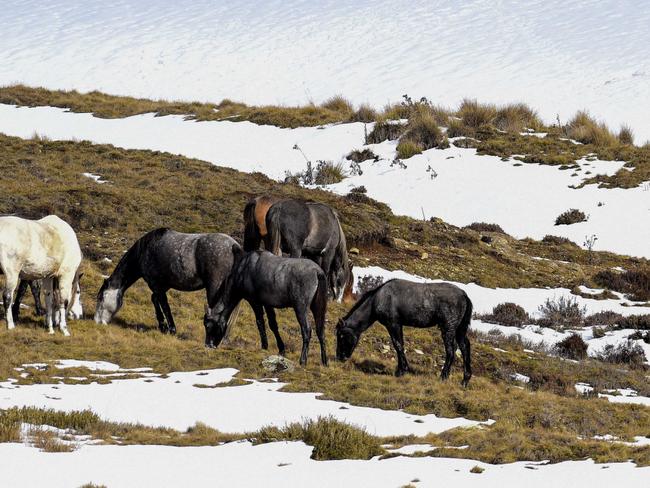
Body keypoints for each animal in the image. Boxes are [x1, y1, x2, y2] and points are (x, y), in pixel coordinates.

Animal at [93, 228, 238, 332]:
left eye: (101, 298)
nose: (97, 322)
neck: (144, 250)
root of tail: (235, 247)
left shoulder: (155, 284)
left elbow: (164, 305)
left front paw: (171, 329)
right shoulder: (163, 285)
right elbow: (155, 300)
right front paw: (162, 326)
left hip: (214, 289)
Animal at [334, 278, 470, 386]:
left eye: (341, 336)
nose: (340, 357)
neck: (378, 299)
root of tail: (464, 295)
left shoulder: (393, 324)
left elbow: (398, 345)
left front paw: (401, 370)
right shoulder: (397, 325)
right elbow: (400, 345)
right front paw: (401, 369)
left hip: (448, 328)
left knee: (450, 351)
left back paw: (443, 376)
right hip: (459, 330)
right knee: (464, 347)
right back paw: (465, 380)